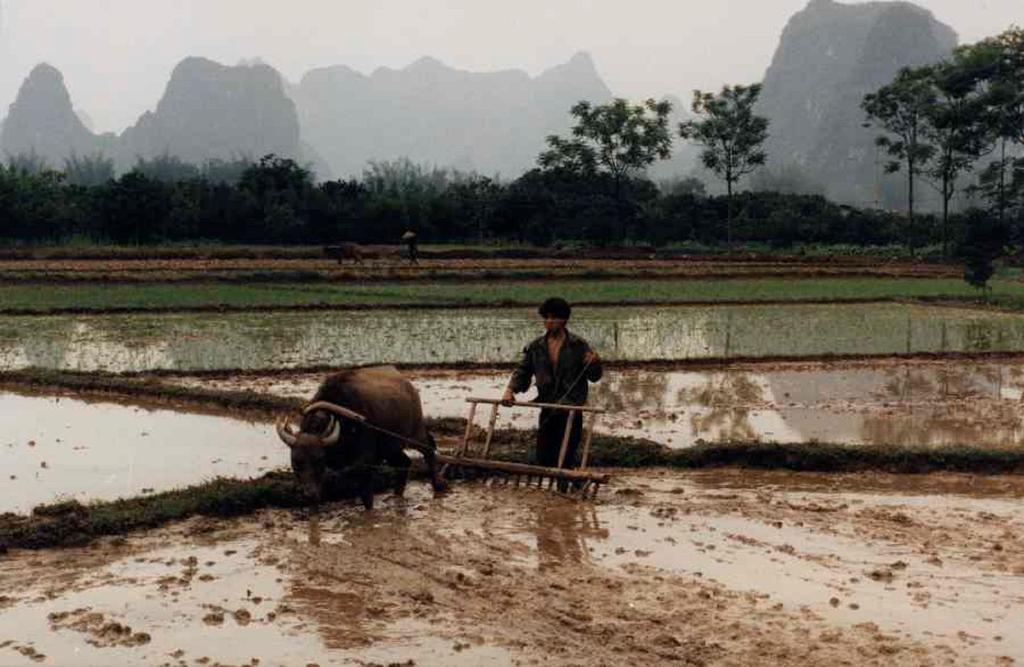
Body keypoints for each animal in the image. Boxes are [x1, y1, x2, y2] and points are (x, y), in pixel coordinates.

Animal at [274, 364, 446, 506]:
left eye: (319, 461)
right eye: (296, 462)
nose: (309, 494)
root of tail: (408, 385)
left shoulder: (364, 463)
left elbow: (366, 495)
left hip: (415, 433)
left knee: (429, 448)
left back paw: (438, 486)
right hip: (390, 447)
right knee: (404, 462)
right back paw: (397, 495)